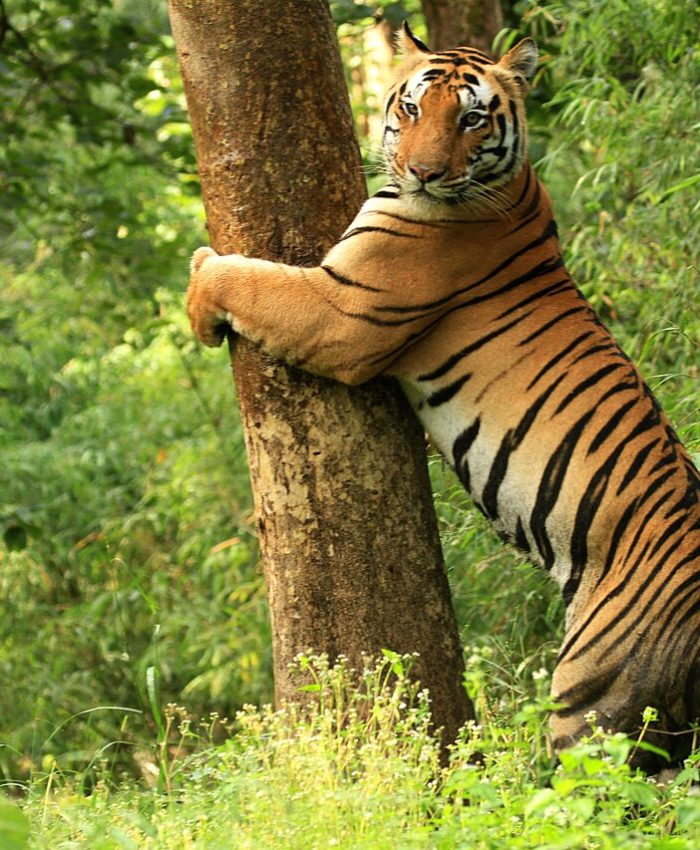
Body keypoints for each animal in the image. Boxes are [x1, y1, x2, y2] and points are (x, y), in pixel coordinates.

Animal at [186, 23, 700, 769]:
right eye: (413, 108)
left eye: (471, 119)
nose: (424, 172)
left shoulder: (341, 311)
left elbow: (250, 281)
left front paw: (198, 288)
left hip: (596, 699)